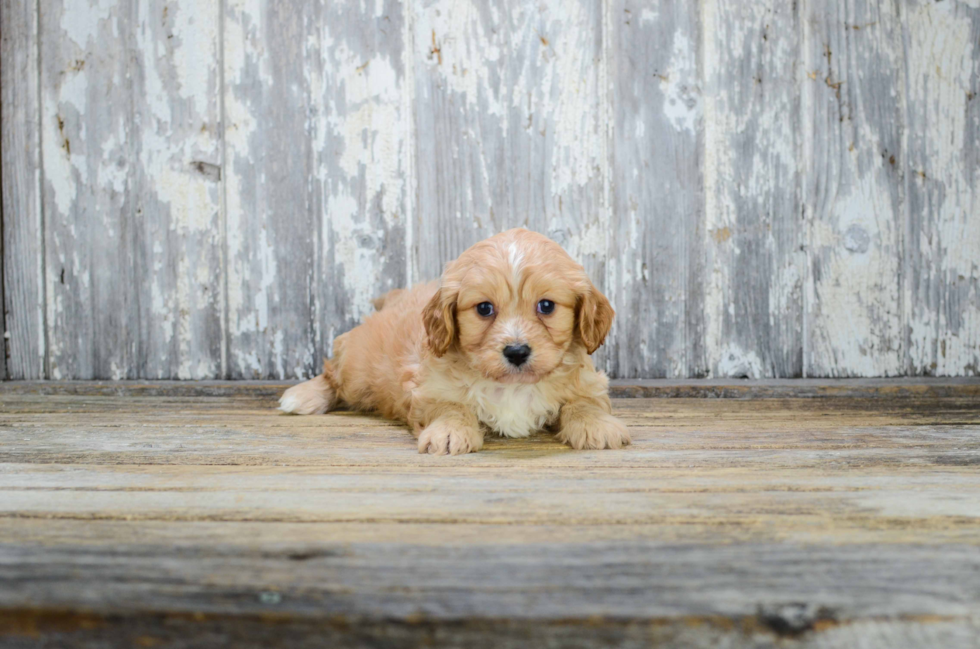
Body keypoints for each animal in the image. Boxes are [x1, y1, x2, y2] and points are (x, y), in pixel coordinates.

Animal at [278, 230, 628, 454]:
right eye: (484, 308)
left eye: (546, 306)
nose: (516, 352)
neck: (512, 386)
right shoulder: (427, 391)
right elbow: (450, 406)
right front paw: (450, 432)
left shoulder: (588, 383)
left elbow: (583, 402)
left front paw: (597, 425)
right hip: (358, 369)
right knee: (333, 372)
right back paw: (303, 395)